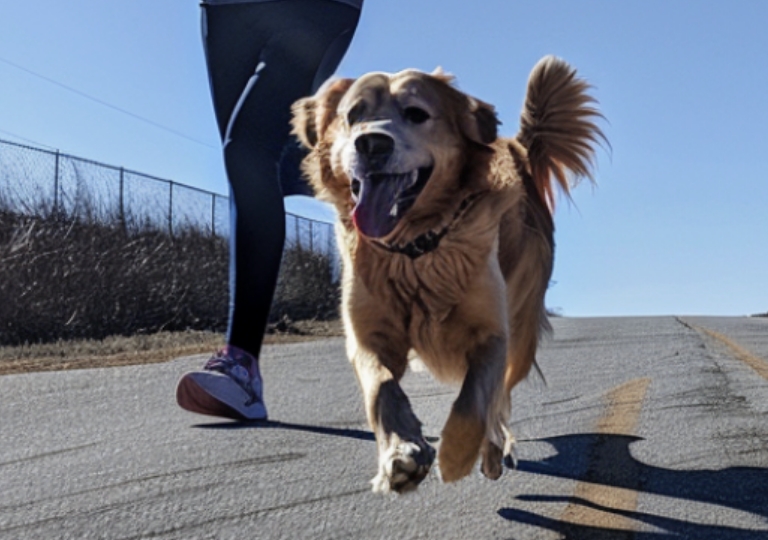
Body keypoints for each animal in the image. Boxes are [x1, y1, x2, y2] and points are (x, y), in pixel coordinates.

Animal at [292, 56, 604, 494]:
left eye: (416, 114)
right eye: (353, 115)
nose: (371, 144)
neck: (414, 250)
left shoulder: (492, 333)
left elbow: (474, 401)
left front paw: (456, 455)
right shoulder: (368, 337)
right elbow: (382, 390)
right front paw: (401, 455)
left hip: (522, 334)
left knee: (499, 400)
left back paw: (492, 452)